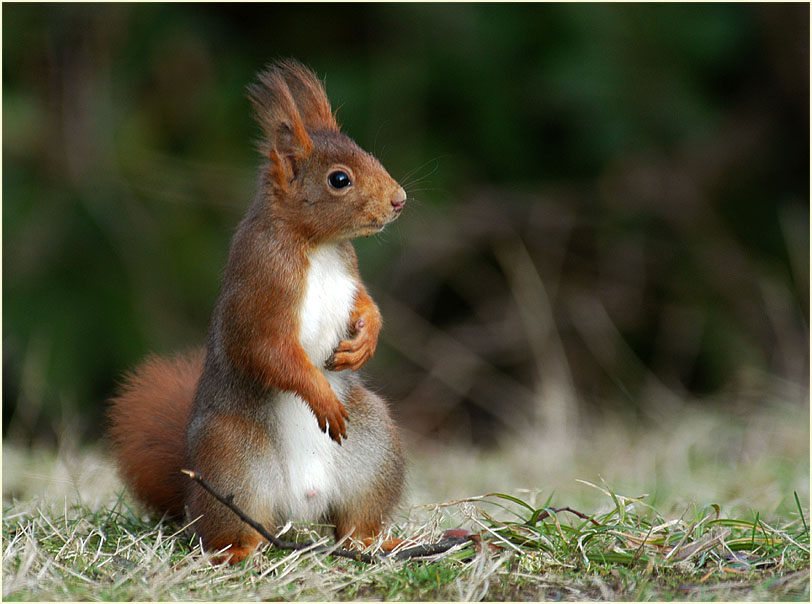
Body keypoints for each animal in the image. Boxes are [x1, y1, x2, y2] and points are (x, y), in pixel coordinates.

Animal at [109, 59, 406, 564]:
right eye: (339, 179)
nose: (400, 199)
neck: (316, 244)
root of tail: (300, 504)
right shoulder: (261, 287)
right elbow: (267, 350)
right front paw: (320, 395)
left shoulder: (349, 275)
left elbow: (365, 304)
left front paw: (364, 340)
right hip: (232, 460)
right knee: (228, 526)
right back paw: (236, 552)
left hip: (374, 447)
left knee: (351, 523)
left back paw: (373, 540)